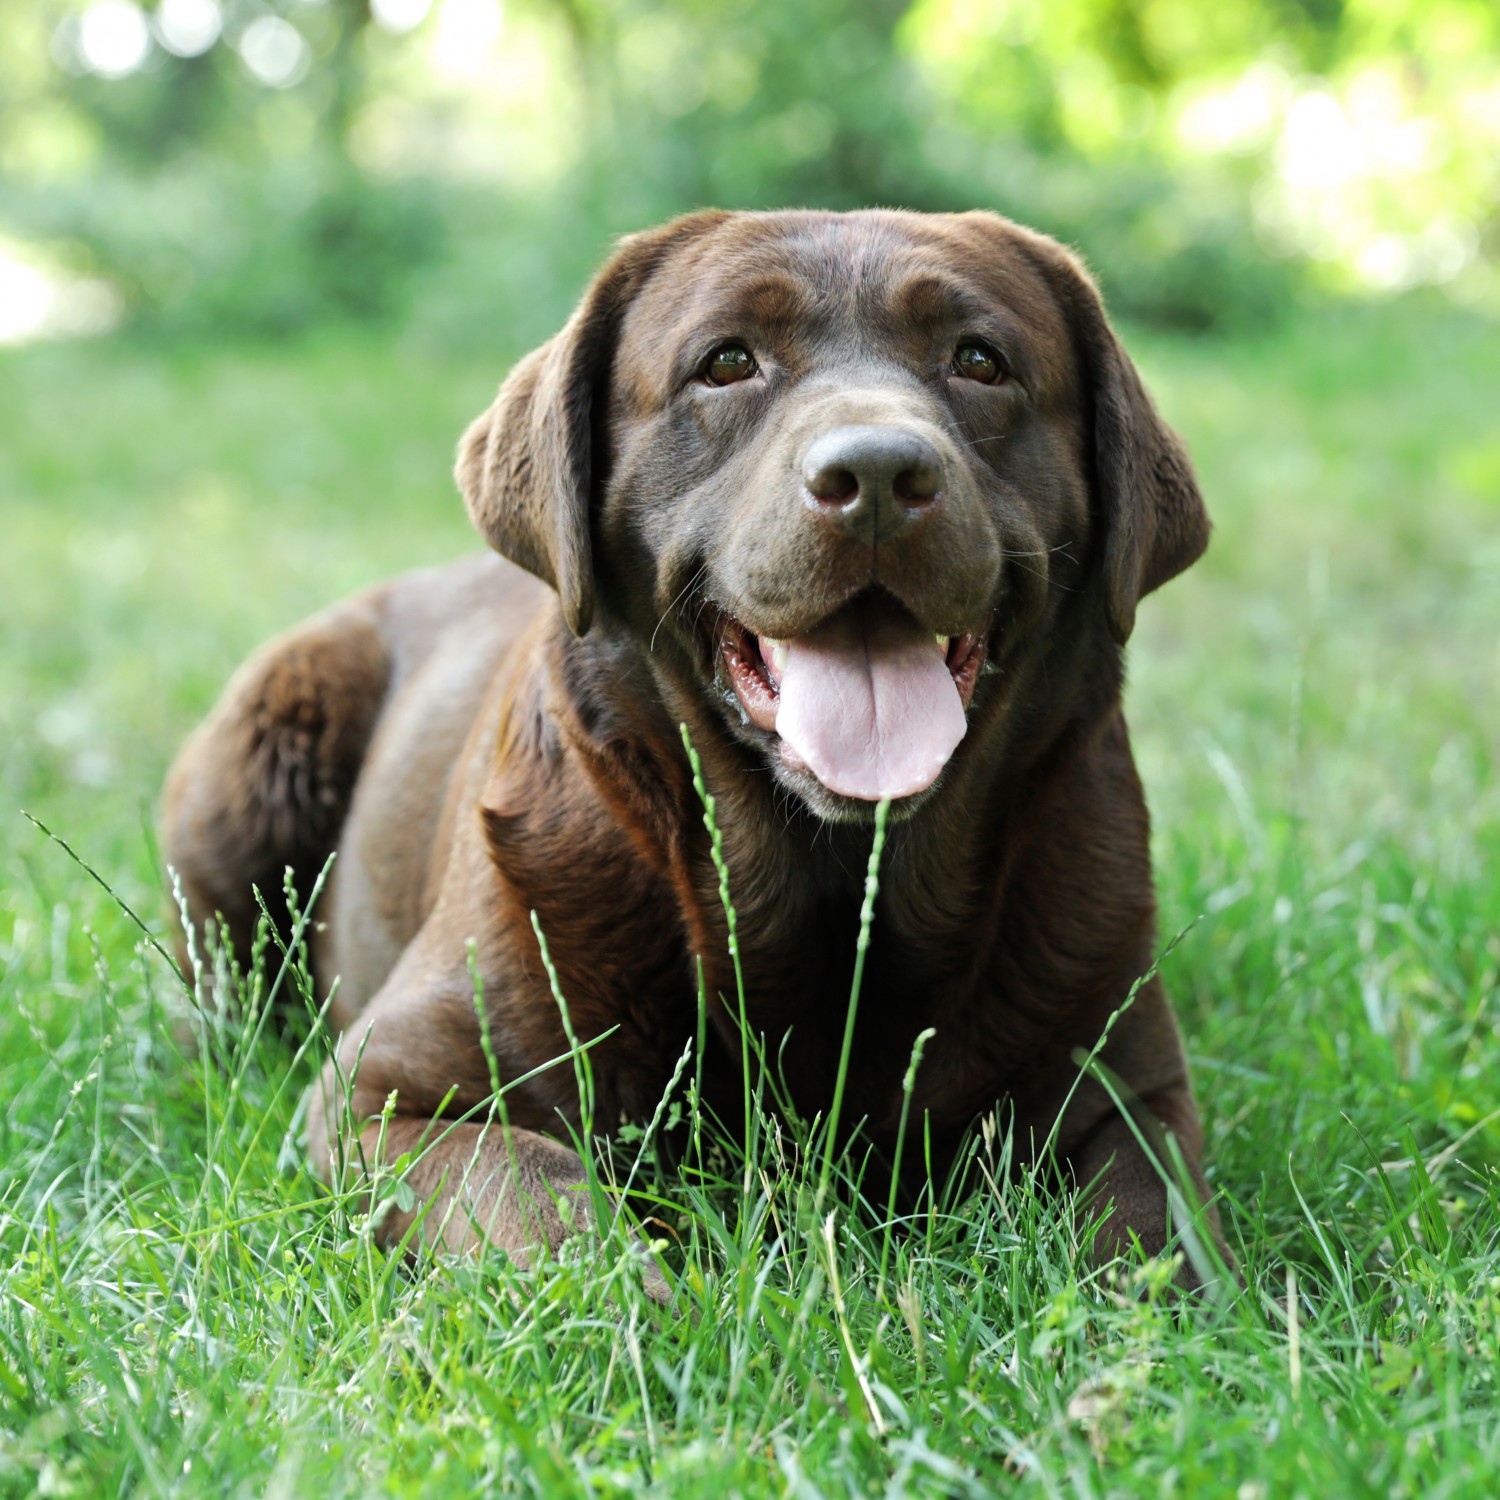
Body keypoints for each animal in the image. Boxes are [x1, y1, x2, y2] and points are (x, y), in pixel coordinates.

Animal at [164, 208, 1218, 1290]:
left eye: (979, 360)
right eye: (726, 363)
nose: (879, 475)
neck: (829, 894)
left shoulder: (1132, 1089)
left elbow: (1154, 1230)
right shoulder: (388, 1093)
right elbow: (544, 1204)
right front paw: (652, 1306)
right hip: (256, 757)